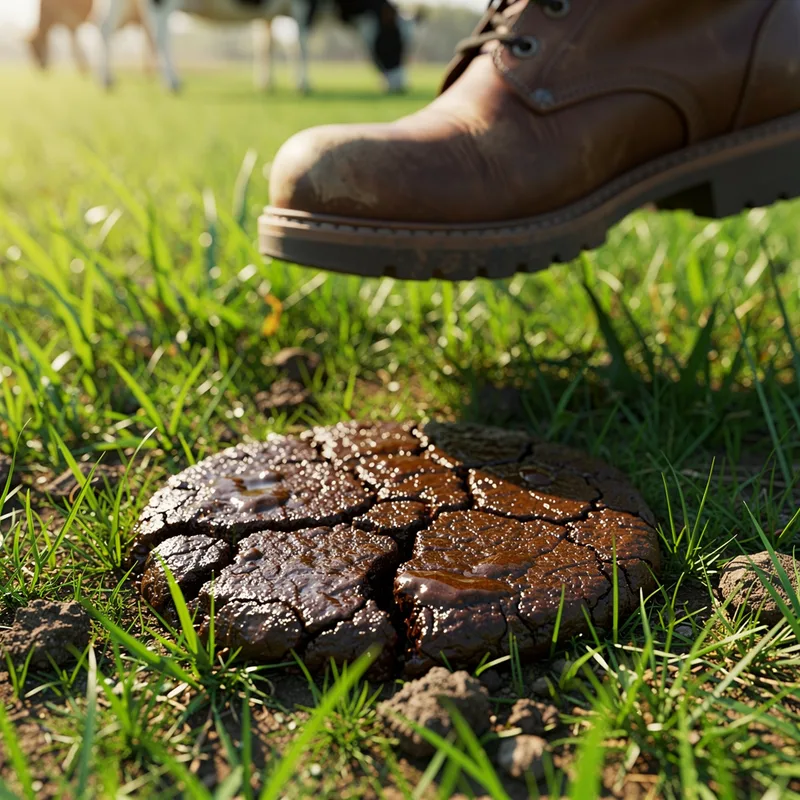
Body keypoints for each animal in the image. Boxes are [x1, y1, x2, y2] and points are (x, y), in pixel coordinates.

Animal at [98, 0, 417, 94]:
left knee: (104, 28)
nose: (401, 87)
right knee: (160, 33)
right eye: (398, 44)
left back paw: (107, 80)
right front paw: (304, 84)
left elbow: (266, 45)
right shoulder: (305, 6)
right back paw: (173, 82)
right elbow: (300, 43)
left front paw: (267, 83)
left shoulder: (270, 15)